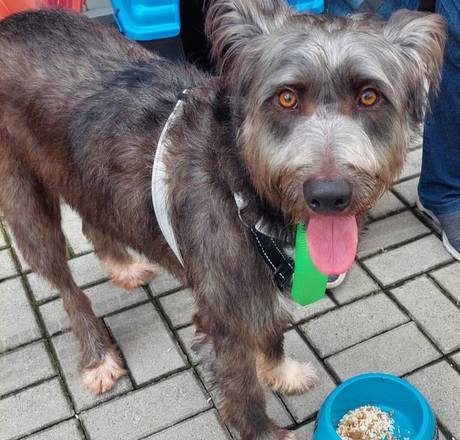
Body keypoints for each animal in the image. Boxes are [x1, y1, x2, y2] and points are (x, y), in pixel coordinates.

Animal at [0, 2, 445, 439]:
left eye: (369, 97)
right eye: (286, 98)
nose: (329, 196)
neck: (242, 185)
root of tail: (14, 22)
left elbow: (271, 328)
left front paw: (280, 370)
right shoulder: (224, 314)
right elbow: (243, 390)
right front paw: (265, 431)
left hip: (90, 182)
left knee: (93, 224)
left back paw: (123, 267)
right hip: (25, 204)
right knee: (67, 288)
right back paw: (97, 356)